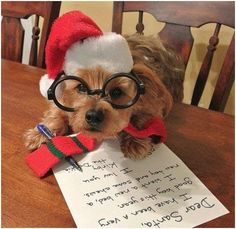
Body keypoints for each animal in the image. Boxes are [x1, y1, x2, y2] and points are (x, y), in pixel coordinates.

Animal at [23, 34, 184, 160]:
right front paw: (40, 134)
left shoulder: (153, 103)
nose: (94, 116)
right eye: (81, 87)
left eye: (117, 92)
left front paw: (135, 140)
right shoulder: (62, 99)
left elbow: (144, 118)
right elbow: (56, 113)